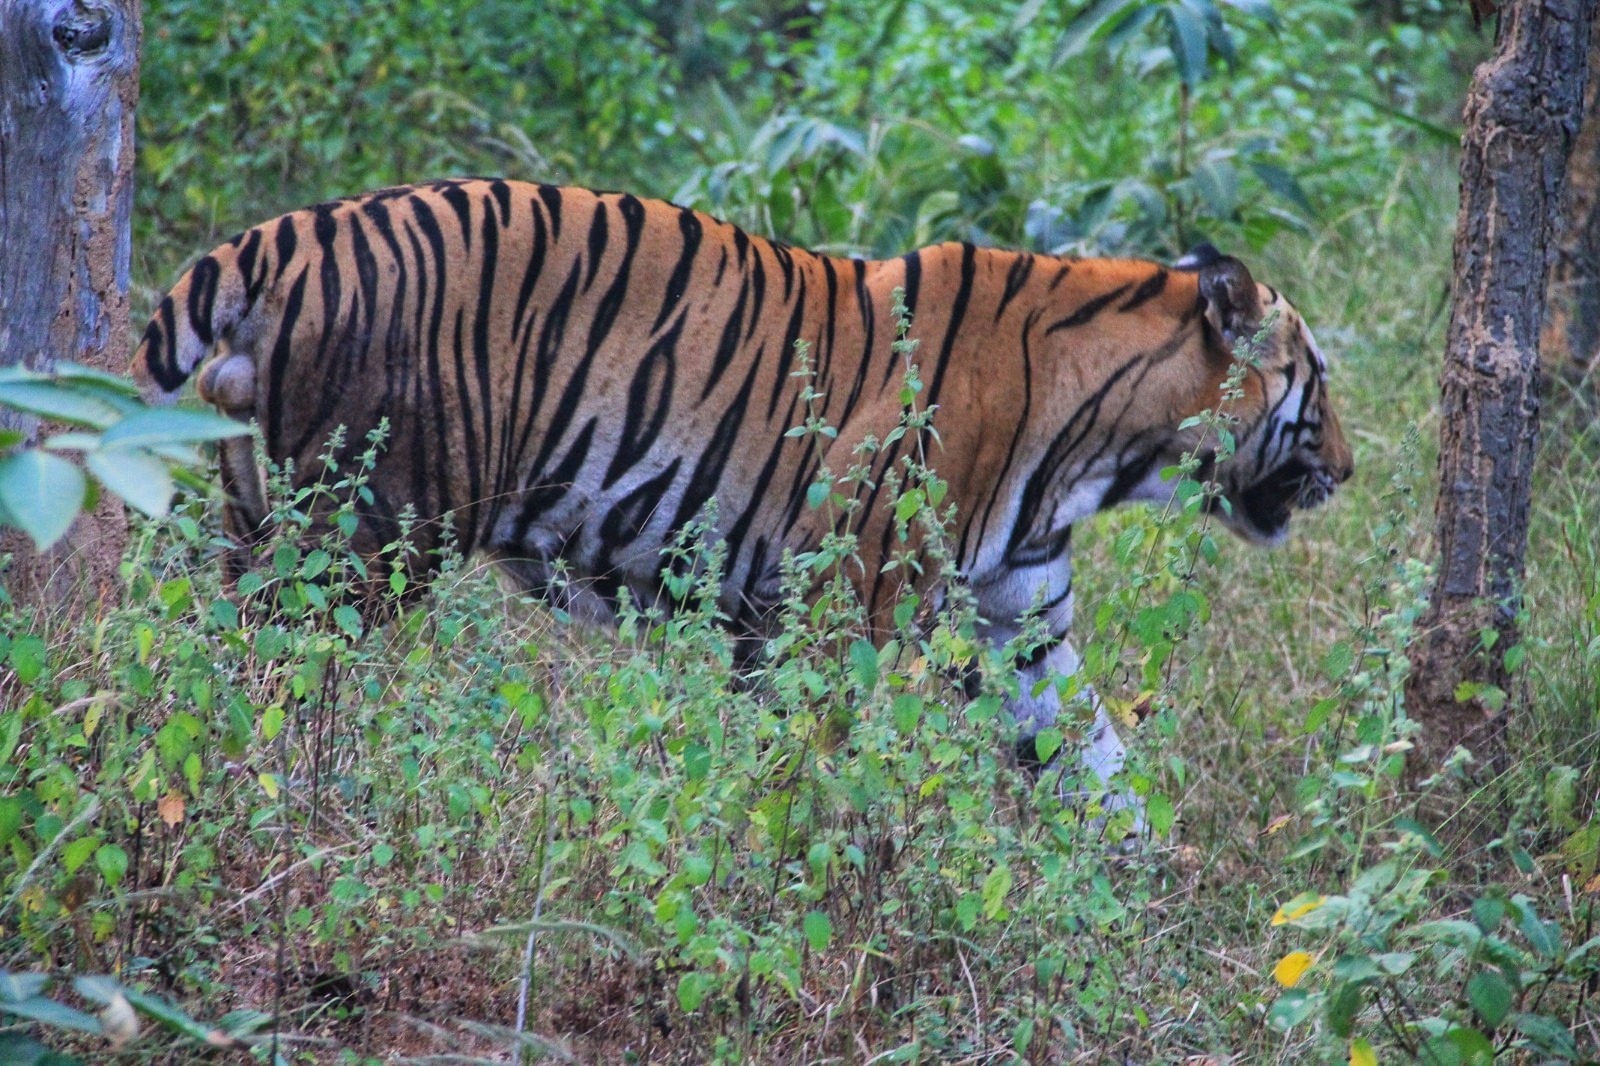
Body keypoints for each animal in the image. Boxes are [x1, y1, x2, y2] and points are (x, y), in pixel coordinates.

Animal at [131, 178, 1350, 816]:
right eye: (1319, 380)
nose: (1347, 469)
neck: (1107, 452)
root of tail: (277, 236)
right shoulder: (837, 608)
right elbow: (805, 770)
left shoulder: (1020, 621)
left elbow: (1099, 767)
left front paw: (1152, 915)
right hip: (365, 539)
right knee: (273, 683)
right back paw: (285, 800)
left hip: (259, 518)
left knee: (205, 668)